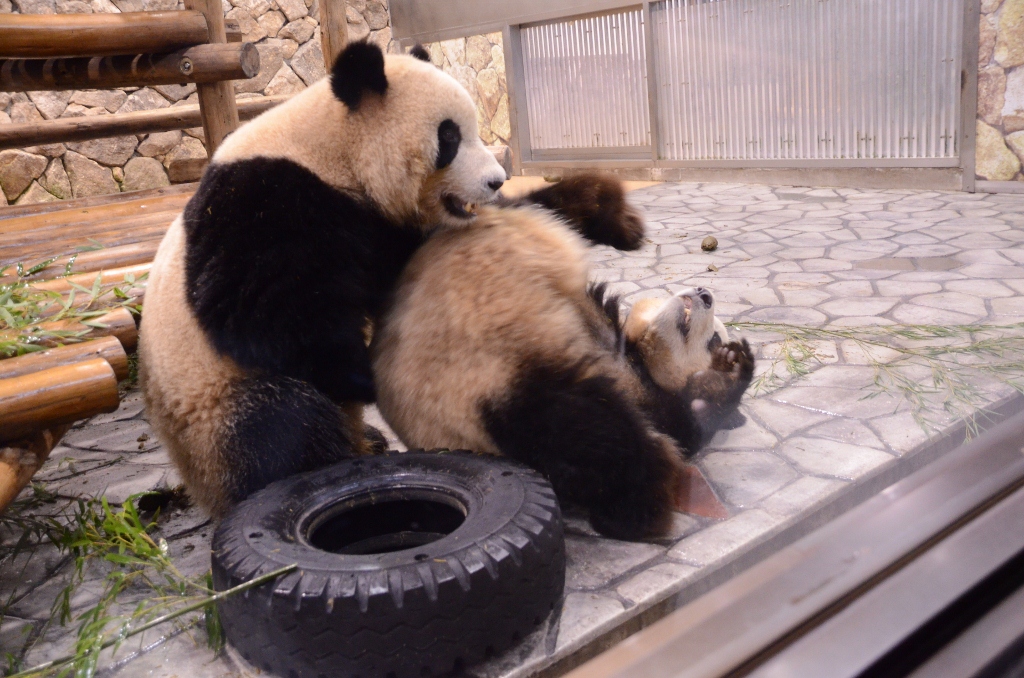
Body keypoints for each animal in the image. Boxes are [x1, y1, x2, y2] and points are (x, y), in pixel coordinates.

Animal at [140, 42, 643, 518]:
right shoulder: (264, 203)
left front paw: (610, 216)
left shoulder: (379, 226)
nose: (496, 180)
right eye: (449, 136)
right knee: (278, 426)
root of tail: (198, 487)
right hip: (209, 405)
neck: (333, 148)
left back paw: (368, 439)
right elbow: (255, 311)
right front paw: (363, 376)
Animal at [370, 204, 753, 540]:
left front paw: (727, 374)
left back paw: (635, 513)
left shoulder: (647, 395)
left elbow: (685, 426)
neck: (638, 358)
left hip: (505, 395)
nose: (704, 293)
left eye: (713, 340)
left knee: (586, 436)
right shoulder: (596, 319)